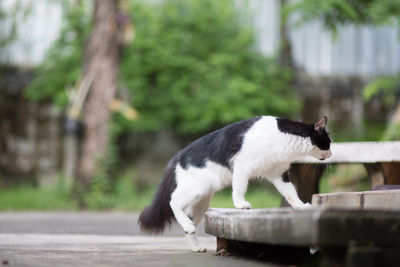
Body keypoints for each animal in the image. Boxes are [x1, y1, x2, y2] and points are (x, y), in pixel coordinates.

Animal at [138, 115, 332, 253]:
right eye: (328, 143)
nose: (331, 154)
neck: (284, 137)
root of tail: (177, 157)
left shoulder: (278, 173)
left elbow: (290, 193)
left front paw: (301, 207)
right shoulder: (242, 165)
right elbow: (239, 187)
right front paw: (240, 204)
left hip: (202, 201)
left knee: (190, 220)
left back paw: (194, 242)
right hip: (199, 187)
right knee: (174, 201)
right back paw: (186, 225)